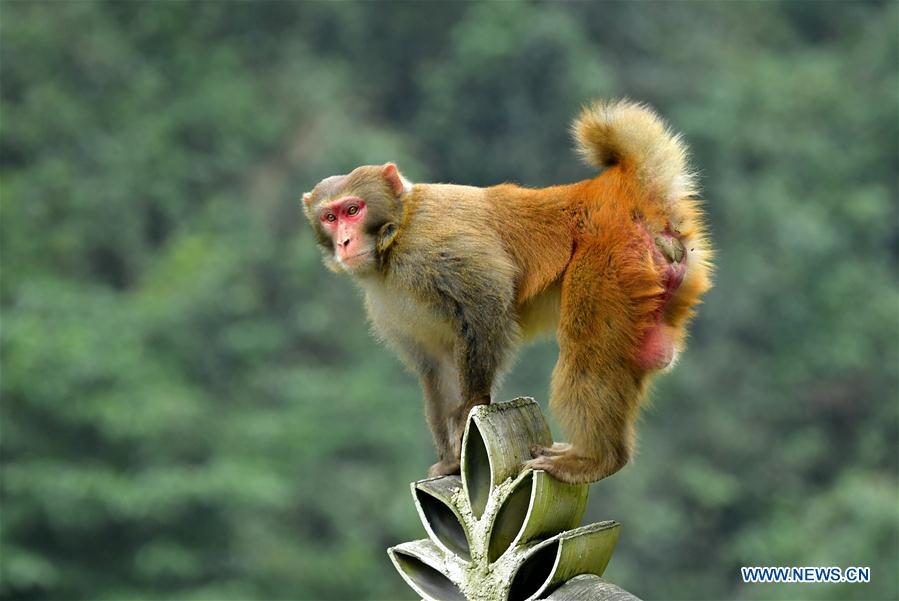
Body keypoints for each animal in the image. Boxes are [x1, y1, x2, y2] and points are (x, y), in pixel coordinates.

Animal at [306, 98, 712, 482]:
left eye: (353, 210)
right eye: (330, 217)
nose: (344, 241)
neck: (396, 235)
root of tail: (615, 189)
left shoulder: (432, 249)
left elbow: (488, 300)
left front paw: (472, 405)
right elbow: (437, 365)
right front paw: (451, 461)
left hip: (611, 263)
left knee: (588, 349)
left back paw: (596, 459)